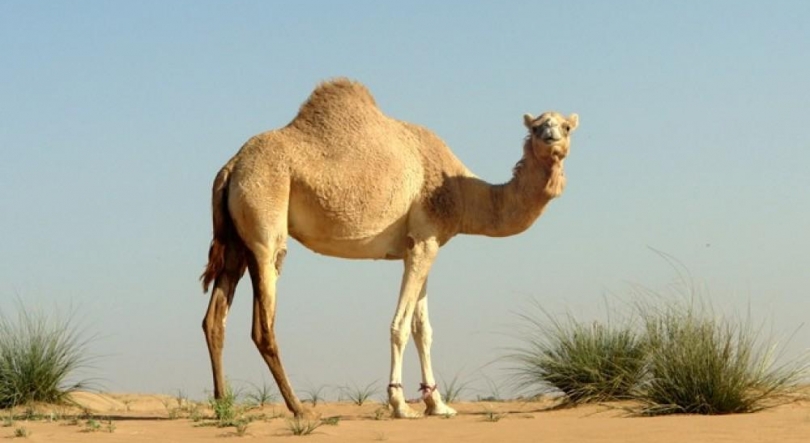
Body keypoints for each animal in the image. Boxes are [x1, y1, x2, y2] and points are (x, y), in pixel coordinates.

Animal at [202, 77, 580, 420]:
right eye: (537, 126)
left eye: (565, 126)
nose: (551, 137)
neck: (461, 190)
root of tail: (230, 167)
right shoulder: (425, 240)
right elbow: (399, 326)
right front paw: (400, 405)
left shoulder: (420, 246)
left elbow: (422, 330)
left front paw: (438, 404)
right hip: (266, 225)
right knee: (263, 325)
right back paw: (298, 409)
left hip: (235, 241)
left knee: (214, 319)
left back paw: (223, 407)